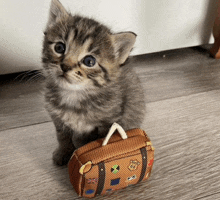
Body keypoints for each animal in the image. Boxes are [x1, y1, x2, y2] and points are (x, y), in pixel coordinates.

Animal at [42, 0, 146, 166]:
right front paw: (63, 152)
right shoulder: (57, 119)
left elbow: (101, 141)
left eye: (89, 61)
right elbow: (63, 137)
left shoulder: (108, 121)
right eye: (59, 47)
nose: (65, 66)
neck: (74, 94)